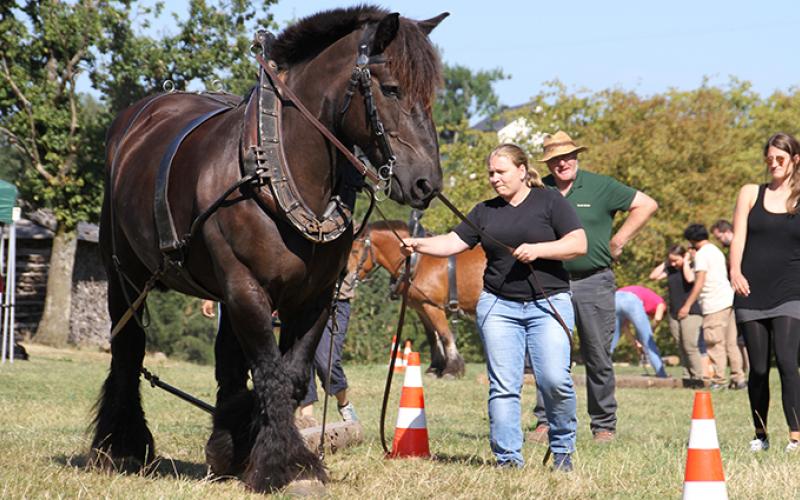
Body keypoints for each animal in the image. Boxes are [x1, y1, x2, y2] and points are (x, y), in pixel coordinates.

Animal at [92, 6, 450, 492]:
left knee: (226, 365)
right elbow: (271, 375)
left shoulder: (314, 297)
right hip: (125, 273)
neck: (275, 170)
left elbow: (292, 376)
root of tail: (135, 120)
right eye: (392, 88)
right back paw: (122, 445)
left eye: (430, 94)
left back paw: (226, 447)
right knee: (129, 350)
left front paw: (266, 453)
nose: (426, 183)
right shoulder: (246, 288)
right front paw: (285, 465)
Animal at [352, 221, 488, 376]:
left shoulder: (433, 306)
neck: (418, 260)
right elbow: (433, 337)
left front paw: (452, 369)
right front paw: (435, 367)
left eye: (354, 251)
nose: (345, 278)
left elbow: (445, 336)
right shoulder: (422, 308)